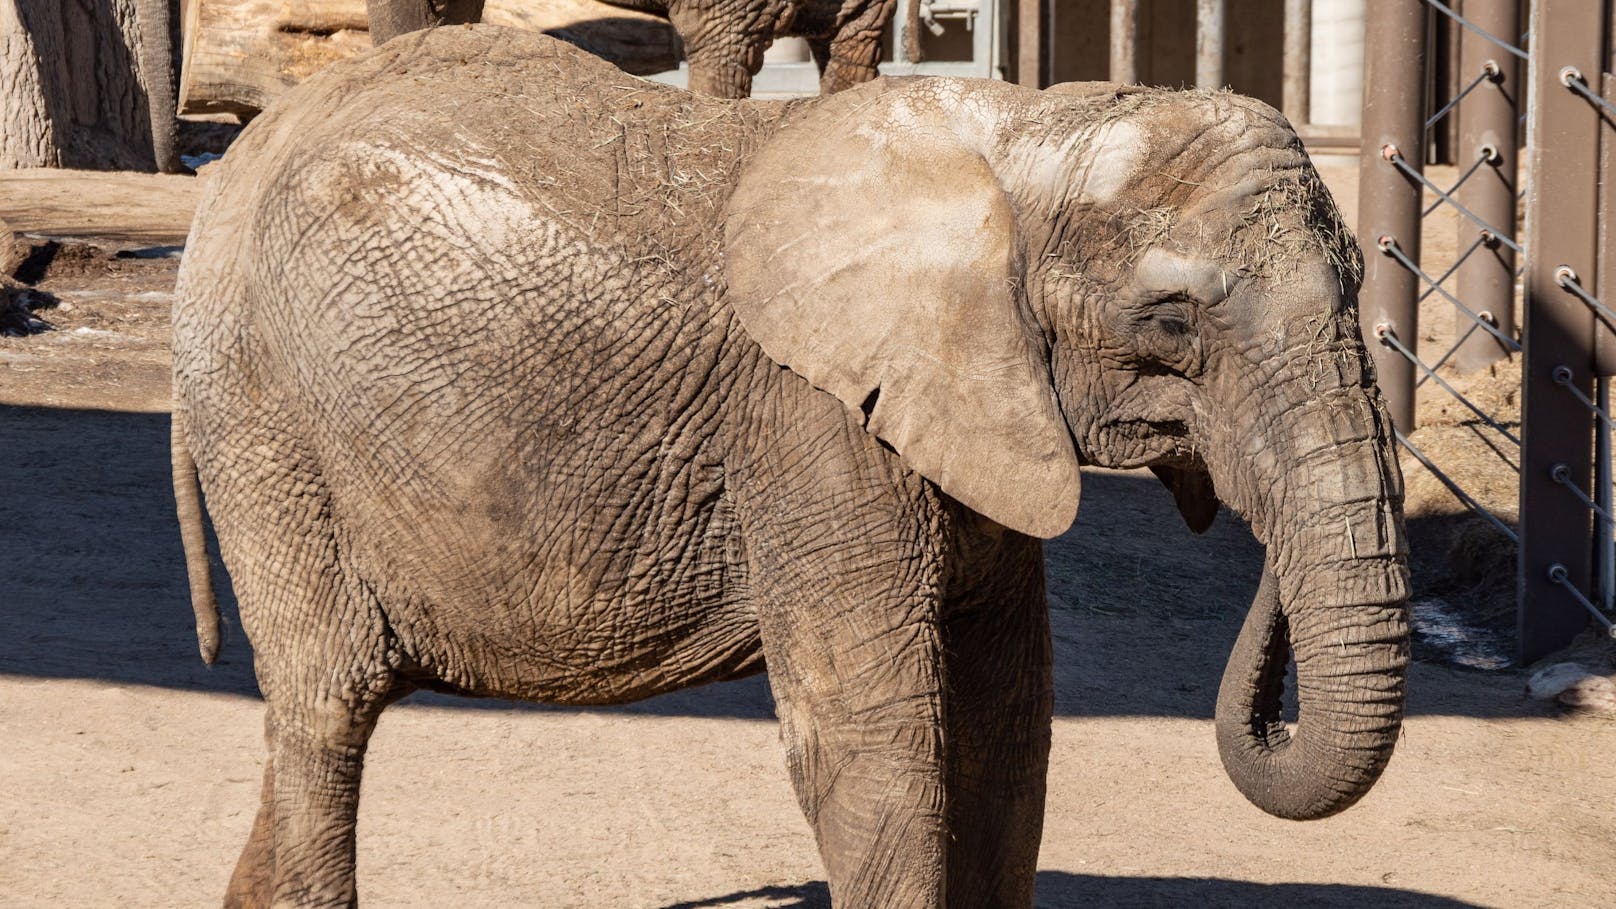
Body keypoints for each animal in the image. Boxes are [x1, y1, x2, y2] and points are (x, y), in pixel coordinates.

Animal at [170, 24, 1415, 905]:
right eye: (1169, 323)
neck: (1019, 136)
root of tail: (230, 171)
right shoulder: (810, 423)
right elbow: (873, 743)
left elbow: (1008, 727)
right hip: (263, 417)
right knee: (327, 704)